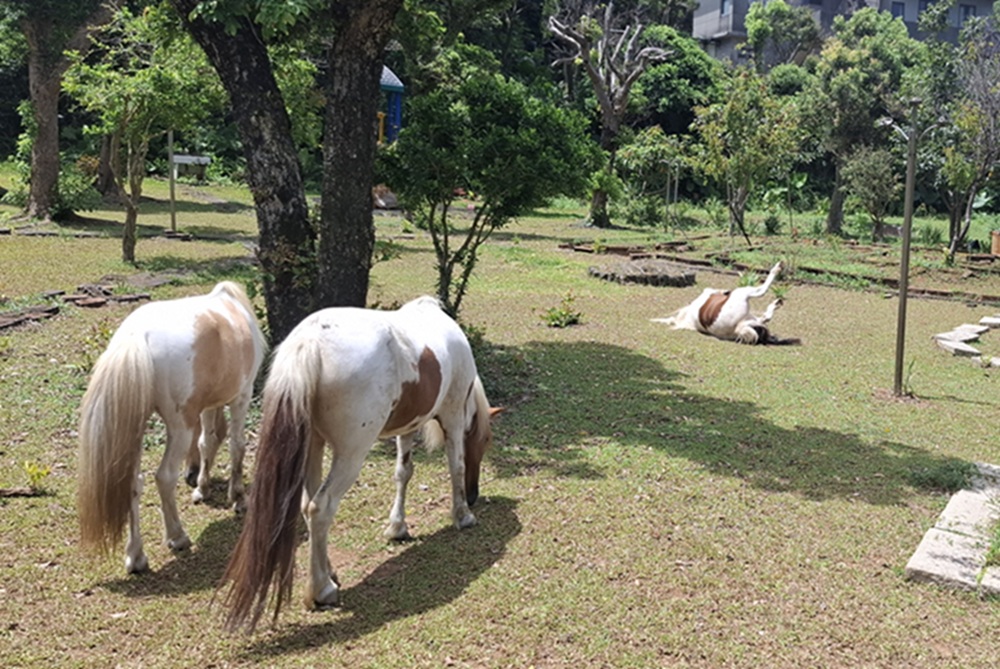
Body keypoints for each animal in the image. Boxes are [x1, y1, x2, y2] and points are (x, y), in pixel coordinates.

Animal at [77, 281, 267, 574]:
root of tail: (136, 336)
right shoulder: (241, 397)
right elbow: (237, 446)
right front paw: (237, 498)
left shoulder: (209, 404)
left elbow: (207, 442)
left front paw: (202, 487)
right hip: (180, 428)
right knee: (164, 477)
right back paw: (177, 537)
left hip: (136, 431)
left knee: (133, 482)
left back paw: (136, 556)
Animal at [219, 296, 500, 632]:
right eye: (485, 441)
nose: (473, 495)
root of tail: (310, 341)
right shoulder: (454, 415)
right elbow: (455, 466)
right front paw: (462, 515)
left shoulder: (407, 425)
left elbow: (403, 472)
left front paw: (397, 527)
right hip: (350, 454)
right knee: (321, 506)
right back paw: (322, 591)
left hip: (313, 445)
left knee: (307, 505)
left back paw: (328, 574)